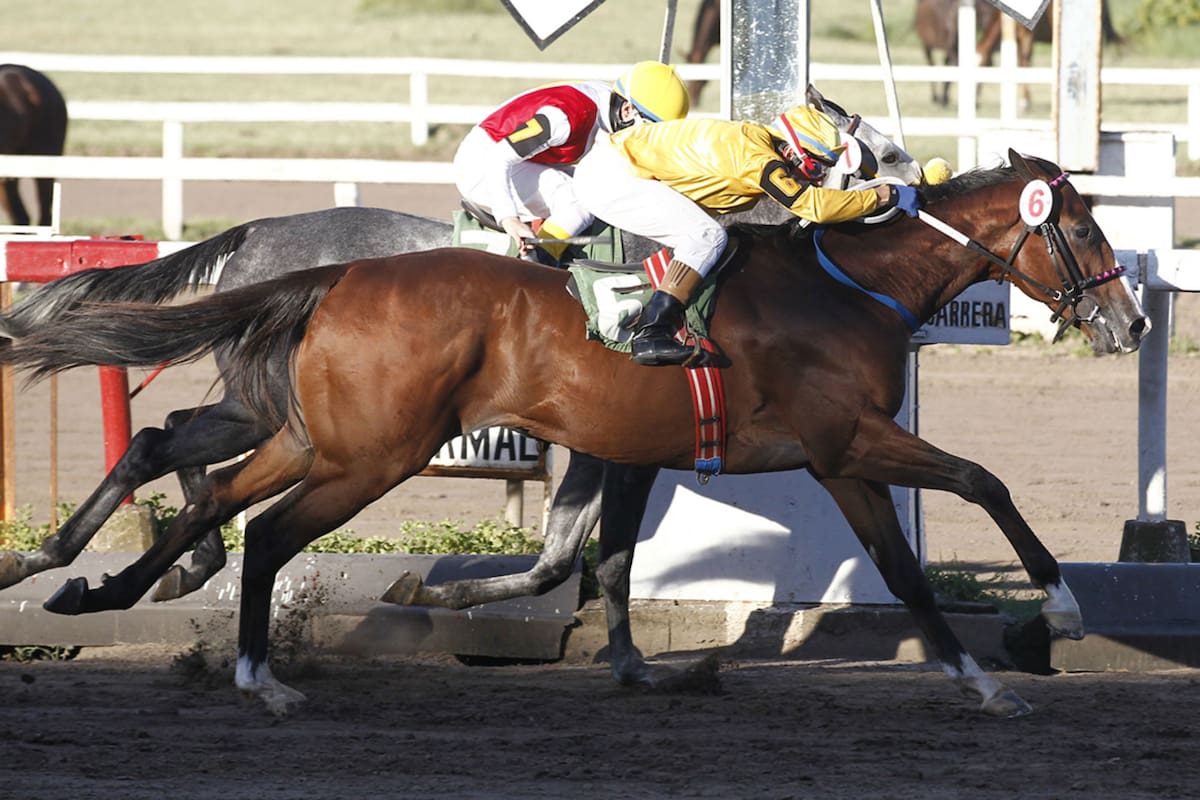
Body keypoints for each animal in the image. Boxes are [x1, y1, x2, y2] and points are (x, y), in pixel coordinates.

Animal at [0, 86, 923, 604]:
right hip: (271, 397)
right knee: (176, 443)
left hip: (260, 401)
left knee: (166, 436)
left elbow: (569, 541)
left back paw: (112, 558)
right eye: (883, 148)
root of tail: (256, 229)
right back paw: (161, 557)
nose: (920, 179)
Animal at [0, 151, 1149, 718]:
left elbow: (897, 569)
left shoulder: (800, 457)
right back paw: (249, 669)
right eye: (1085, 227)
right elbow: (982, 483)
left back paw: (98, 581)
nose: (1130, 321)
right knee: (258, 524)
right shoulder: (843, 444)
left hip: (318, 434)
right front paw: (1055, 610)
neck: (845, 286)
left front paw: (981, 676)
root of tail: (333, 268)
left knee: (203, 482)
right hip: (369, 449)